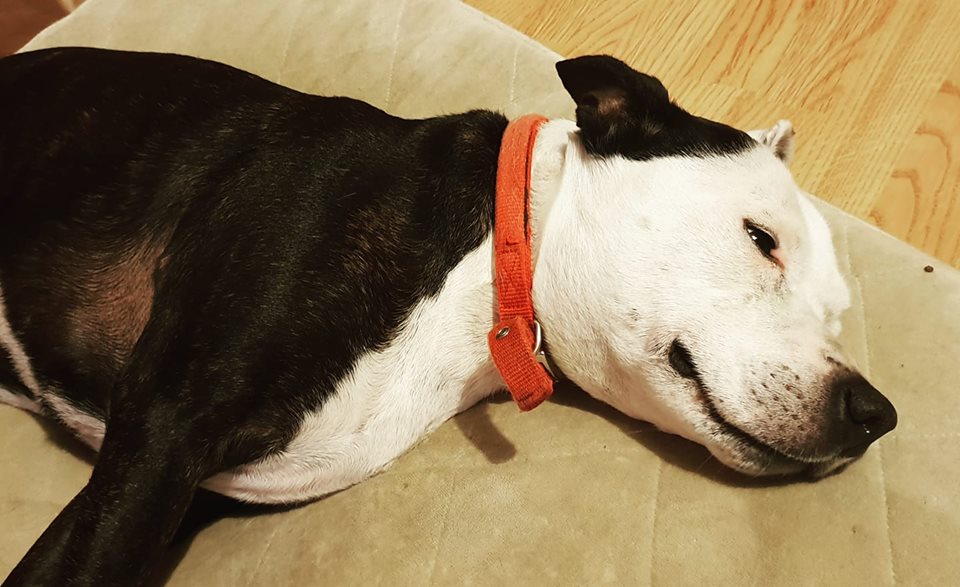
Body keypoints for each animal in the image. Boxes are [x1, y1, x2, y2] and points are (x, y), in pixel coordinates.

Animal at [0, 48, 897, 586]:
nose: (875, 413)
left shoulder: (156, 473)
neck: (493, 257)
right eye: (761, 240)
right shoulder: (162, 431)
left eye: (838, 316)